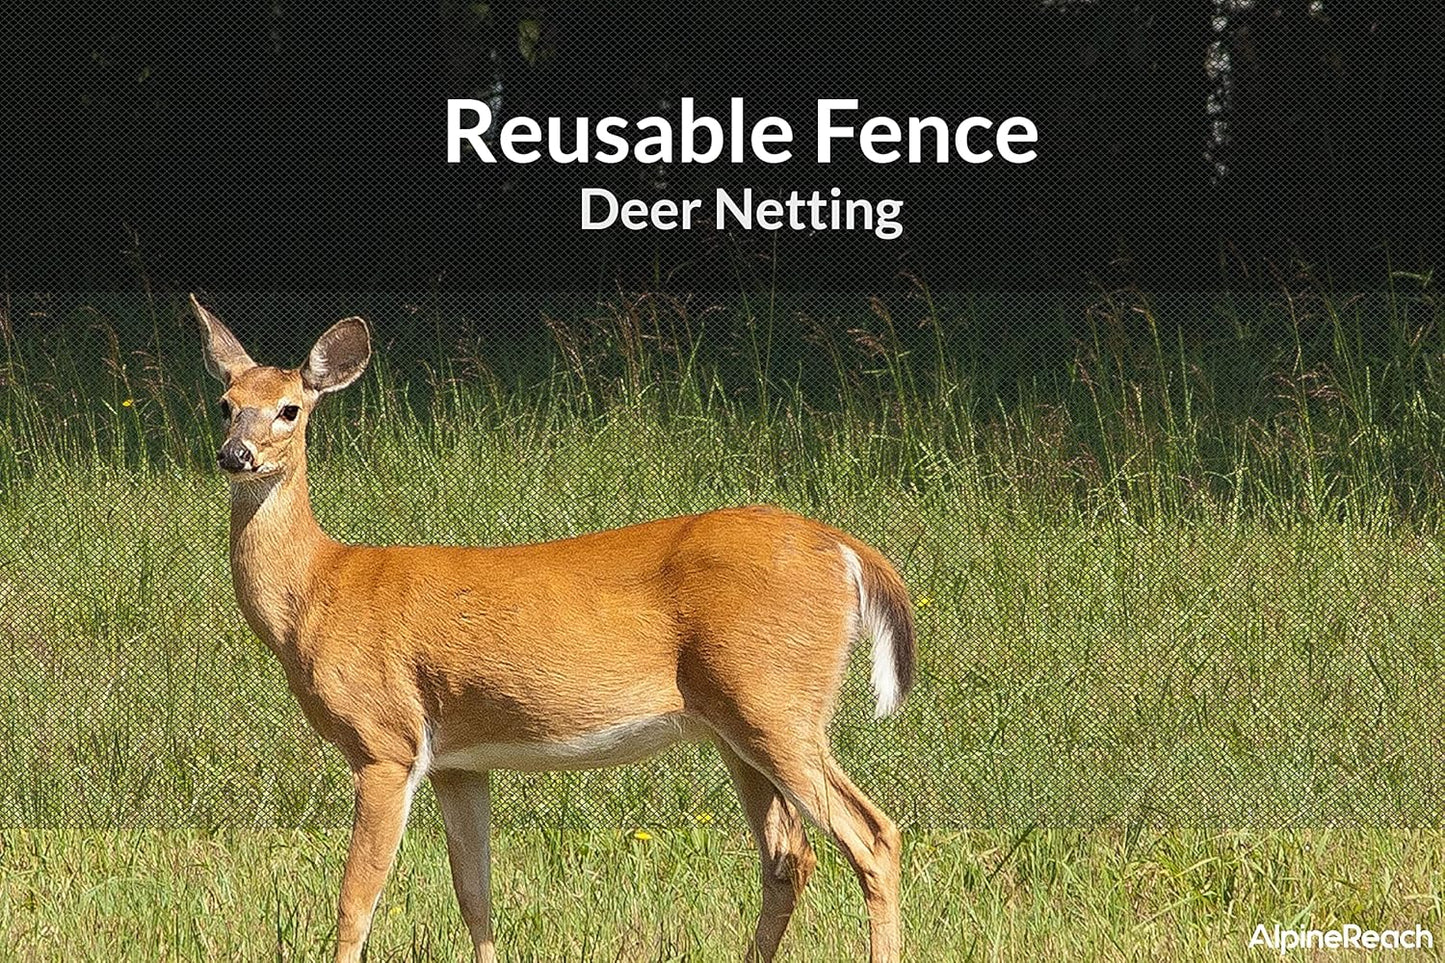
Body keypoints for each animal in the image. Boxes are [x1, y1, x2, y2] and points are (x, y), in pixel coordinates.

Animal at [191, 294, 917, 963]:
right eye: (225, 403)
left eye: (289, 408)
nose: (235, 454)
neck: (318, 591)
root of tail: (848, 550)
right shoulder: (458, 760)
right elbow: (474, 893)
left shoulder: (384, 740)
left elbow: (356, 897)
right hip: (737, 723)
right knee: (788, 856)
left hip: (775, 699)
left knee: (873, 836)